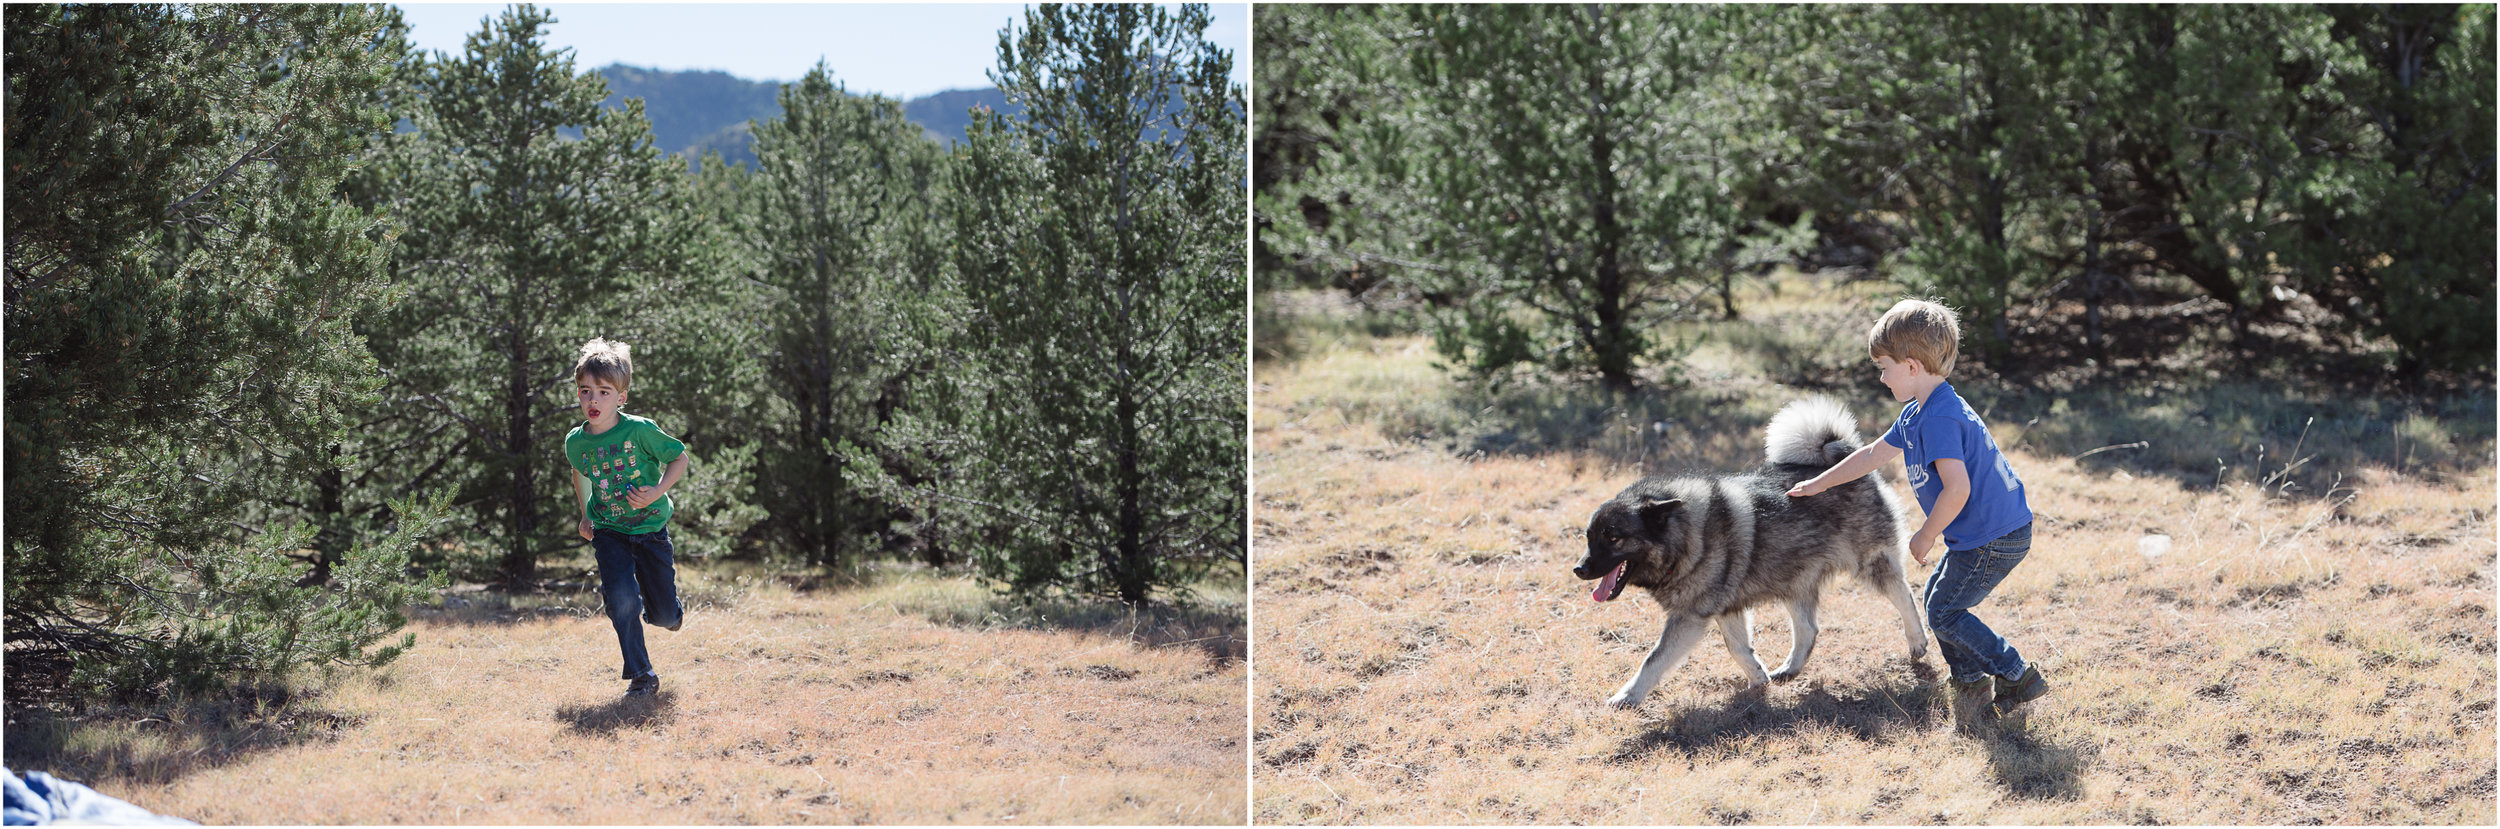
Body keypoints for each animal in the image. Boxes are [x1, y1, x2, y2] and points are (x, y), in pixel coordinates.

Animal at [1580, 399, 1930, 709]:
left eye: (1613, 538)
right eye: (1589, 537)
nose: (1579, 569)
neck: (1687, 534)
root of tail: (1840, 455)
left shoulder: (1690, 616)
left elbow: (1654, 659)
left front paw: (1627, 697)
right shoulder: (1727, 609)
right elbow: (1737, 647)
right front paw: (1758, 679)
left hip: (1870, 563)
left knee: (1905, 596)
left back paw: (1917, 640)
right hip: (1795, 578)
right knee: (1808, 630)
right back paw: (1790, 669)